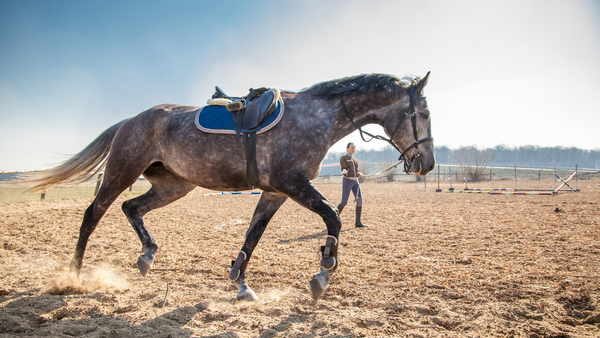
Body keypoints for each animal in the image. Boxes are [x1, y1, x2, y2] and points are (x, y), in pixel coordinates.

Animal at [27, 72, 436, 302]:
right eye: (425, 113)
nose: (427, 164)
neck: (315, 117)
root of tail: (132, 120)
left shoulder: (275, 192)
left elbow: (252, 236)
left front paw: (240, 283)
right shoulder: (292, 183)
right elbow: (333, 220)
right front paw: (322, 273)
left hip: (174, 185)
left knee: (132, 208)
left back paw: (147, 255)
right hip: (121, 173)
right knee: (92, 215)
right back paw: (73, 277)